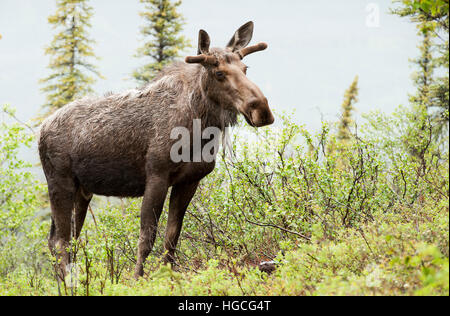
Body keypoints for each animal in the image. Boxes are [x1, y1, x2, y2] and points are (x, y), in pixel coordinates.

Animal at [38, 21, 274, 278]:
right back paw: (68, 282)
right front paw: (137, 278)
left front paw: (168, 276)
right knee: (60, 242)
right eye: (219, 73)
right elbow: (147, 237)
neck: (199, 127)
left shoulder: (189, 181)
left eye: (245, 68)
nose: (262, 109)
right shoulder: (157, 175)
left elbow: (172, 238)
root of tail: (41, 130)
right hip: (60, 182)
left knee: (63, 239)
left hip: (83, 190)